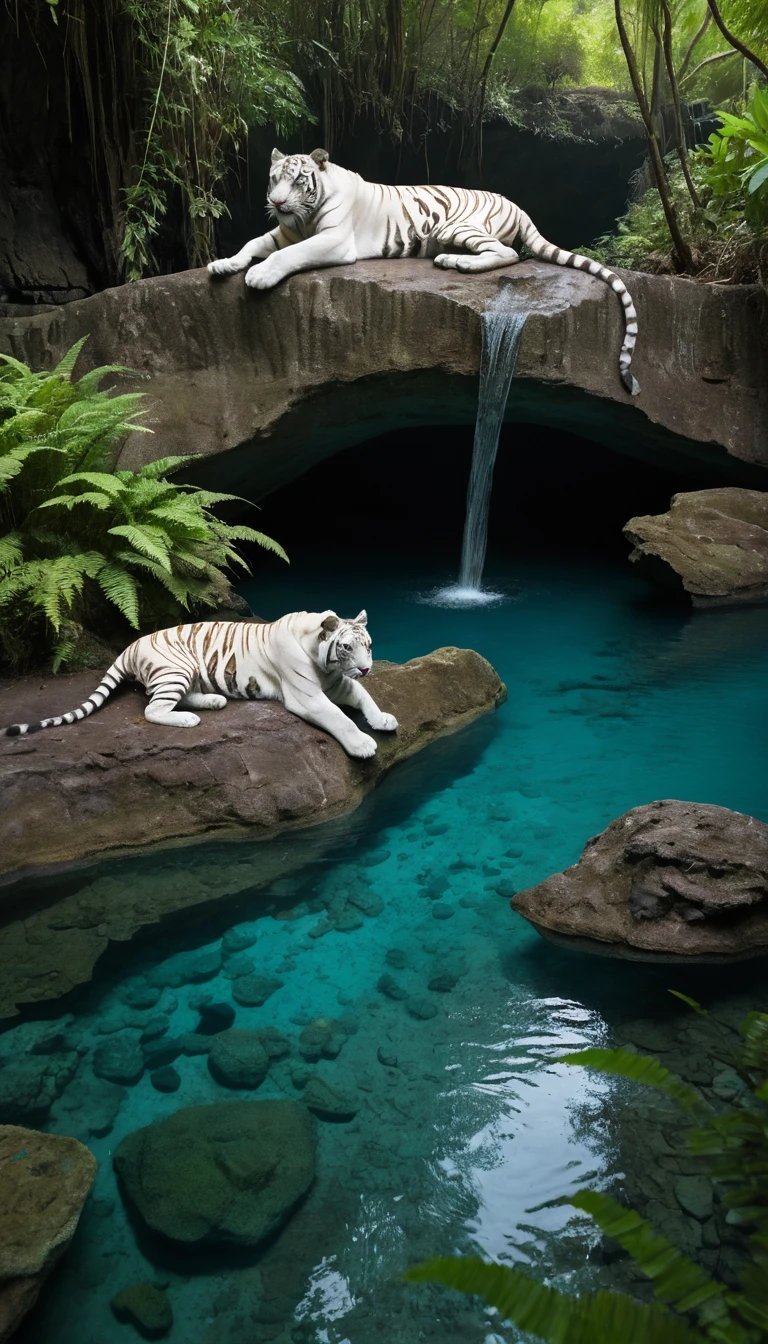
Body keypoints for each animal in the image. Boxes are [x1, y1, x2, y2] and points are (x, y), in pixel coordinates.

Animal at [2, 610, 398, 759]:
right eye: (346, 647)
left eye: (368, 645)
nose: (366, 668)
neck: (323, 661)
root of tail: (130, 646)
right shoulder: (309, 696)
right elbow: (340, 718)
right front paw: (363, 744)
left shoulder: (338, 684)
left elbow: (364, 697)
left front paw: (383, 720)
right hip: (175, 669)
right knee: (153, 708)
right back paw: (189, 719)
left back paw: (212, 702)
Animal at [208, 147, 640, 396]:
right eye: (274, 179)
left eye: (299, 179)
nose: (277, 202)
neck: (302, 218)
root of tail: (516, 203)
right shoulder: (283, 231)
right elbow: (252, 245)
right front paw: (223, 264)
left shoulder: (333, 239)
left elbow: (287, 256)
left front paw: (259, 276)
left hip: (455, 226)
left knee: (507, 254)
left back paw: (456, 262)